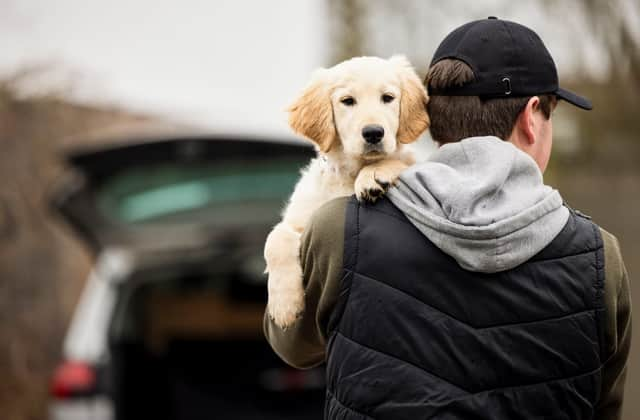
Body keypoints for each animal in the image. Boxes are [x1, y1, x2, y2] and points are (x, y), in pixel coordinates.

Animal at [264, 55, 430, 328]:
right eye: (348, 101)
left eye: (387, 98)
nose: (373, 133)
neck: (349, 173)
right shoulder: (301, 219)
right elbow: (274, 239)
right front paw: (284, 305)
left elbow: (401, 161)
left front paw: (374, 175)